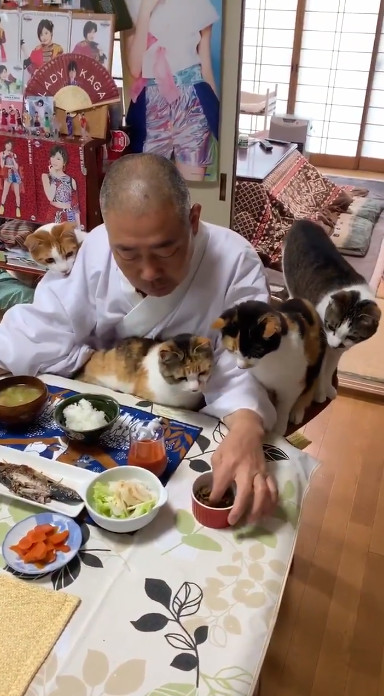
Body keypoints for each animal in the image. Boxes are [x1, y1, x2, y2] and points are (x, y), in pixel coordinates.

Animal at [282, 218, 380, 402]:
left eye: (352, 336)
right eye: (331, 326)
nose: (334, 345)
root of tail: (303, 221)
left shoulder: (339, 350)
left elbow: (329, 371)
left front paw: (328, 390)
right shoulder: (322, 343)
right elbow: (321, 371)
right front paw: (320, 395)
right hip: (288, 269)